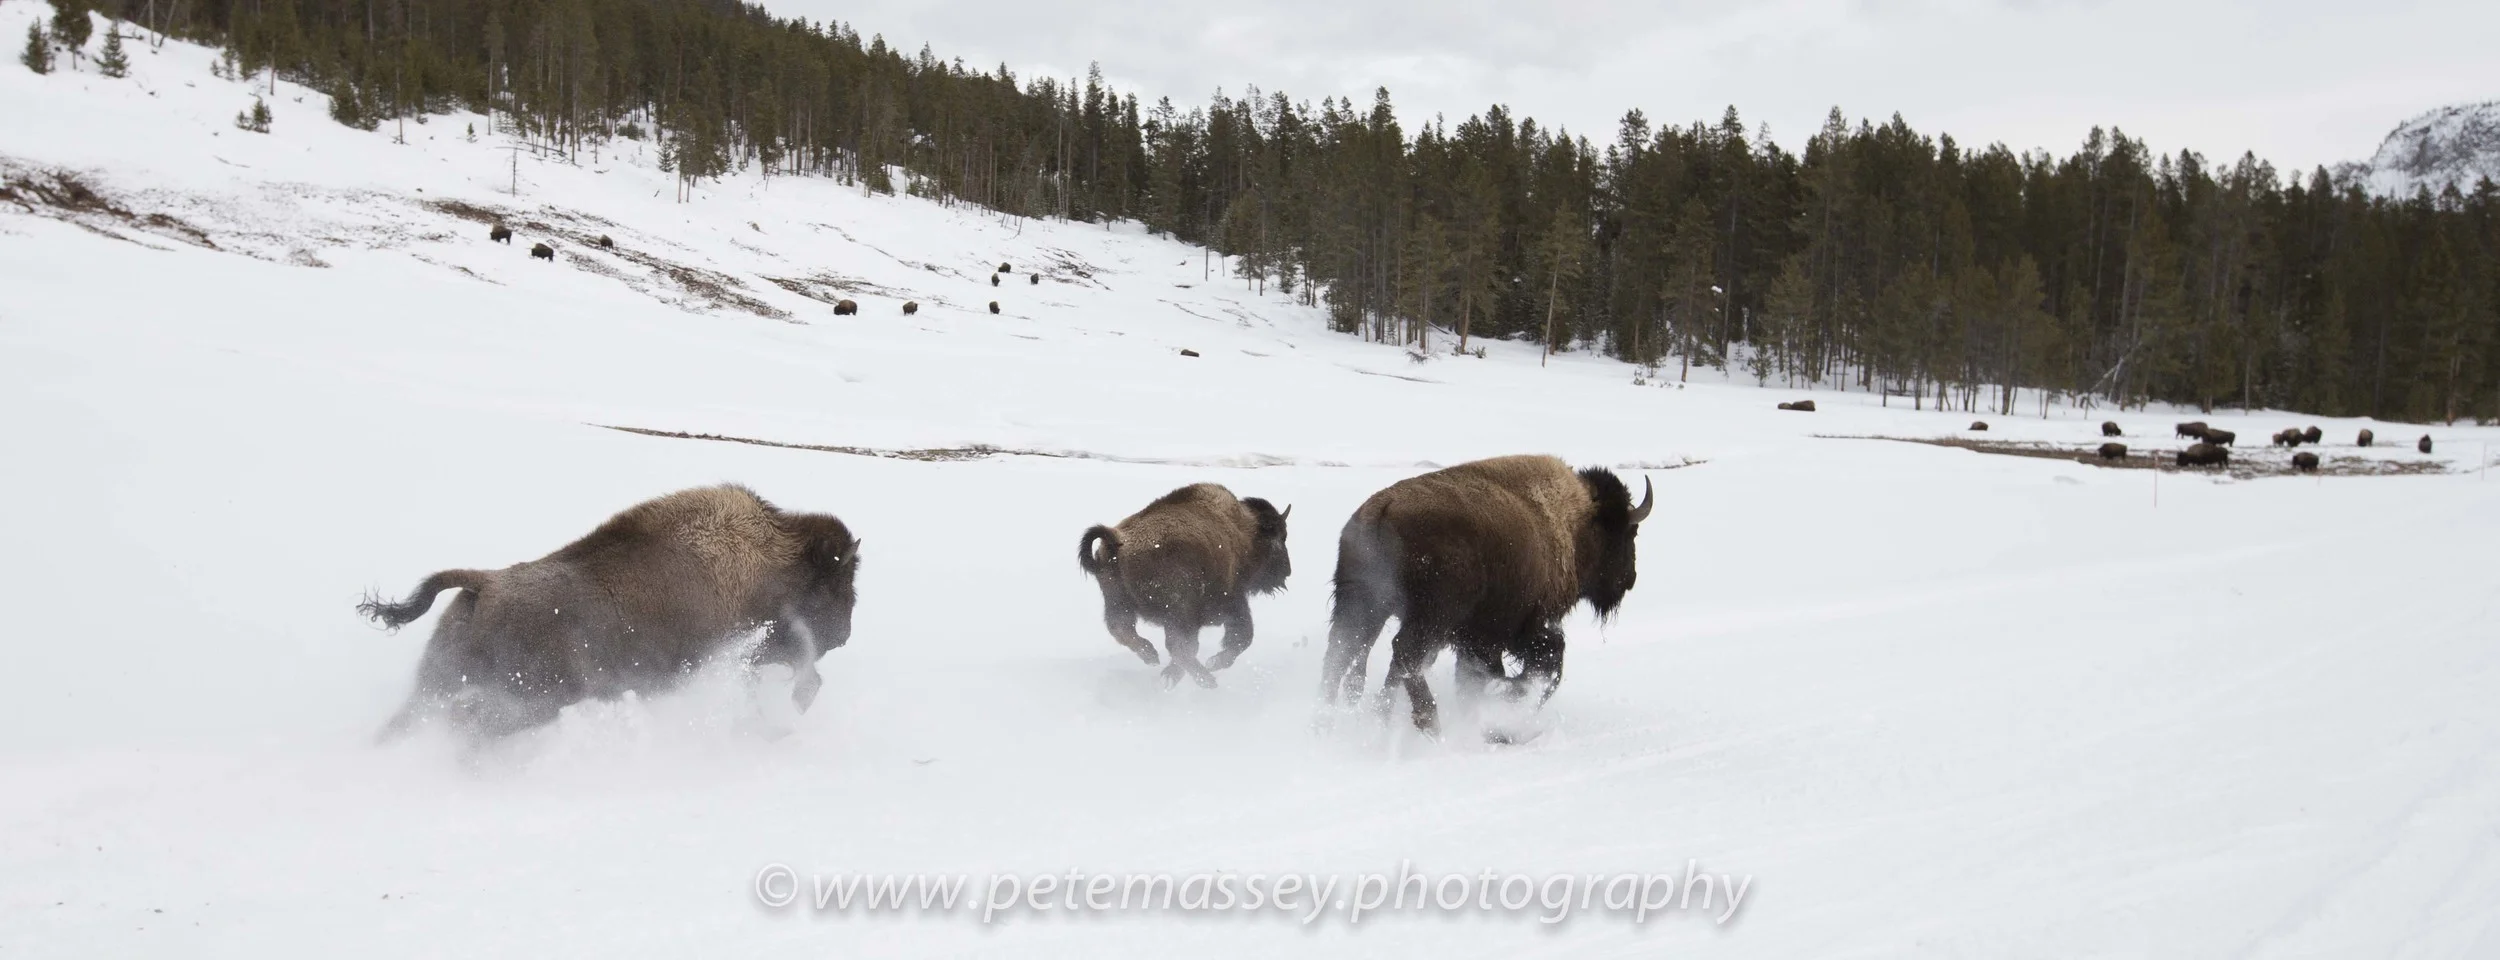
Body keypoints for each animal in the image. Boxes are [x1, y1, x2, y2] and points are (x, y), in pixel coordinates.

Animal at [359, 485, 860, 743]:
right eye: (839, 583)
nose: (845, 634)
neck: (777, 560)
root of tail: (486, 583)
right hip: (527, 699)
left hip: (437, 683)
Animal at [1078, 485, 1291, 688]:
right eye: (1280, 537)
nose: (1287, 571)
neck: (1246, 531)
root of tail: (1116, 539)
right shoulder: (1233, 600)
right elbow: (1243, 636)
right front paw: (1214, 662)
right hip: (1178, 611)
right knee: (1178, 646)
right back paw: (1205, 680)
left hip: (1119, 603)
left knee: (1123, 630)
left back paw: (1154, 659)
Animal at [1321, 455, 1652, 737]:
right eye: (1629, 532)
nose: (1631, 579)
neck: (1575, 523)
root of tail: (1382, 509)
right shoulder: (1519, 628)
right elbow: (1546, 665)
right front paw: (1507, 703)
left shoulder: (1478, 638)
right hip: (1428, 618)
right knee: (1401, 654)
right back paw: (1429, 723)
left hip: (1363, 606)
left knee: (1342, 654)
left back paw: (1329, 722)